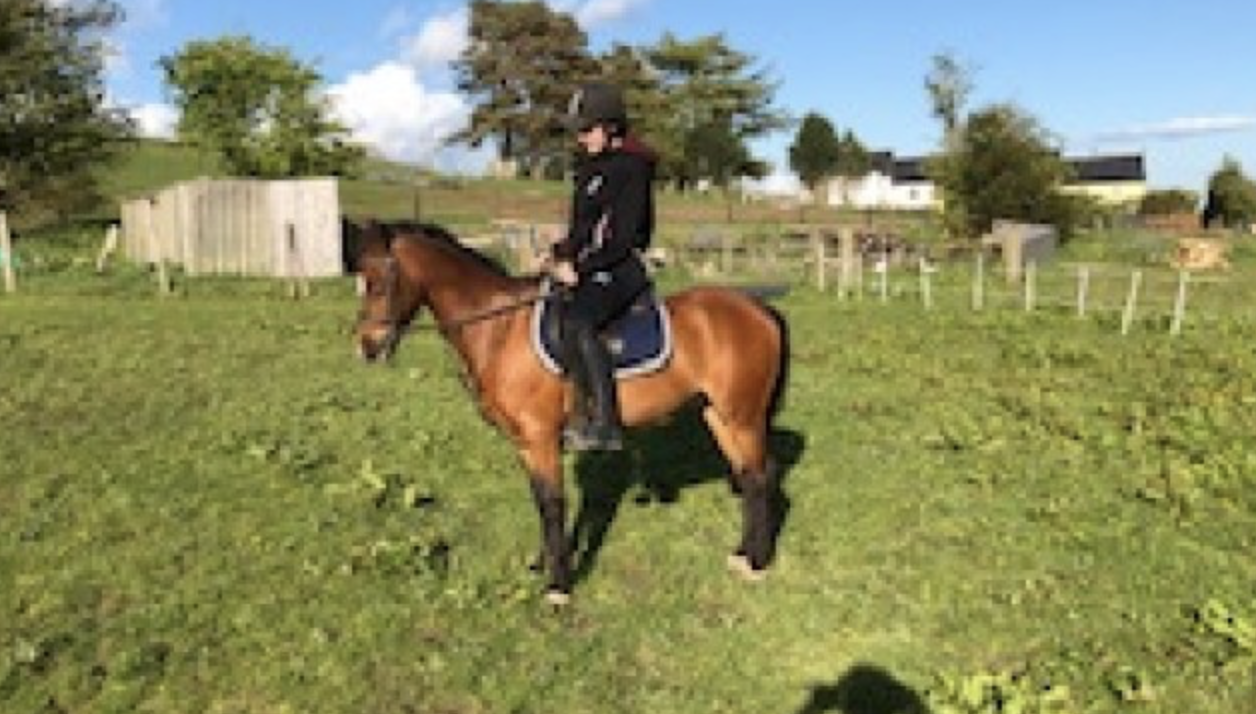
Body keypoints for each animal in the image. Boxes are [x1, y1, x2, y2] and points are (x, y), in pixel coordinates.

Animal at [352, 220, 788, 605]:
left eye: (379, 282)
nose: (366, 347)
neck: (501, 328)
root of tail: (759, 309)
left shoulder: (540, 438)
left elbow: (552, 504)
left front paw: (558, 586)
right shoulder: (525, 445)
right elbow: (540, 501)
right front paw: (543, 564)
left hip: (743, 417)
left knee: (761, 477)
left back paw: (757, 563)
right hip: (720, 416)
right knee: (748, 477)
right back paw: (742, 555)